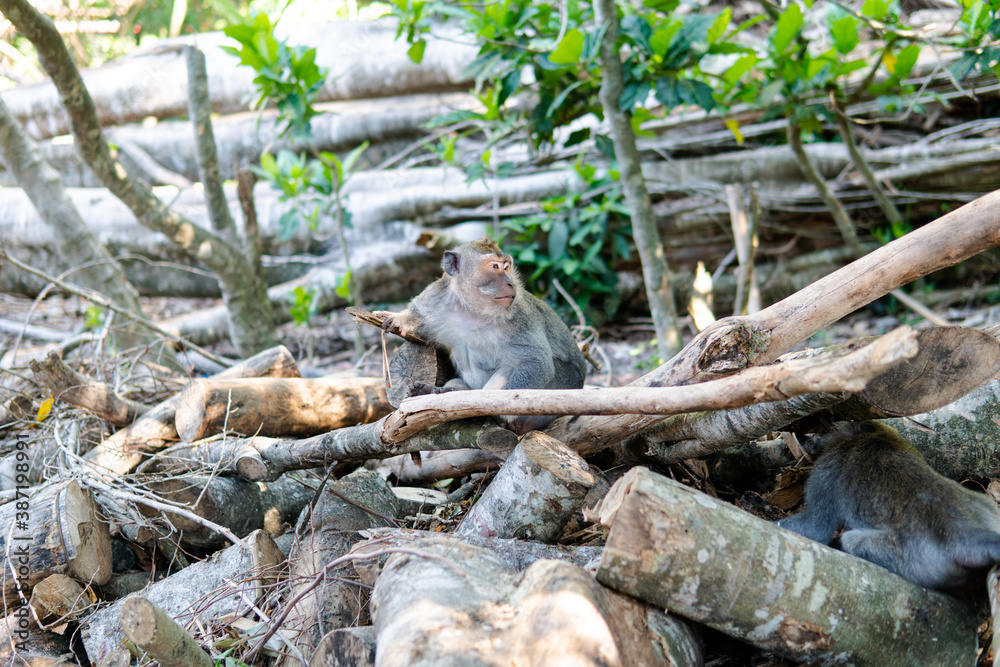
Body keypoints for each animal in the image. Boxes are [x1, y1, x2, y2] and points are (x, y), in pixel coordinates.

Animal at [374, 237, 587, 433]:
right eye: (495, 266)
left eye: (507, 267)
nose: (510, 284)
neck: (472, 310)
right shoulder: (436, 297)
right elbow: (418, 314)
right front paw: (400, 318)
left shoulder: (519, 317)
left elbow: (536, 363)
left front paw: (498, 408)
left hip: (563, 385)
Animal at [777, 420, 1000, 590]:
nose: (810, 440)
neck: (870, 434)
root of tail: (965, 530)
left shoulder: (829, 466)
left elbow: (817, 525)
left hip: (913, 558)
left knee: (852, 540)